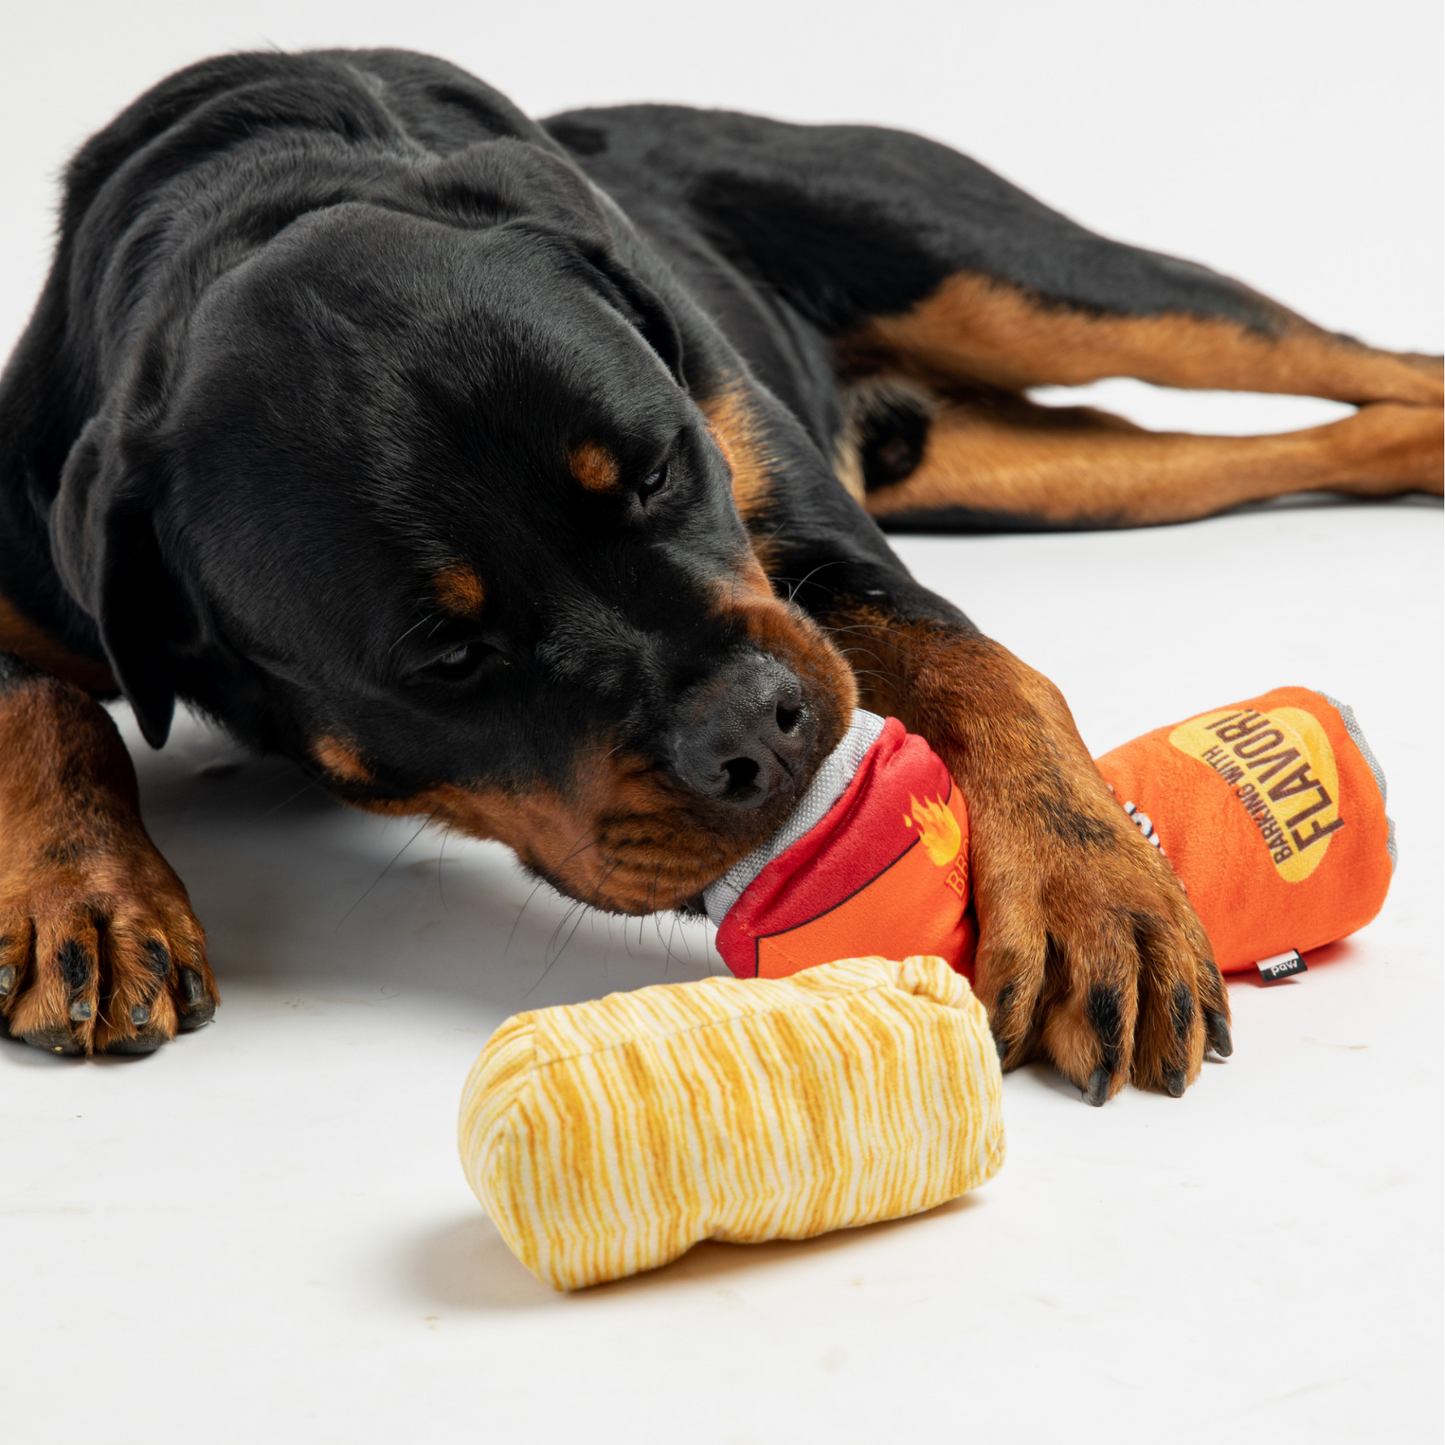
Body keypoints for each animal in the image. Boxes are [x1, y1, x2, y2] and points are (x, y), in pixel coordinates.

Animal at [0, 50, 1439, 1098]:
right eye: (447, 657)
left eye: (654, 471)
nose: (763, 728)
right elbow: (46, 712)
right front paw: (89, 891)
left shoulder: (810, 539)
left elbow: (990, 673)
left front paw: (1096, 882)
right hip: (1041, 471)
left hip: (1022, 275)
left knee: (1330, 349)